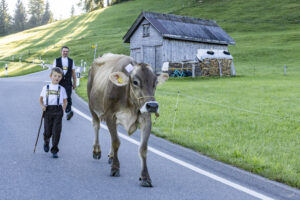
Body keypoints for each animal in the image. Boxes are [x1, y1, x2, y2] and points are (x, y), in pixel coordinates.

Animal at [88, 52, 169, 186]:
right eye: (135, 82)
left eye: (156, 82)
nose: (152, 106)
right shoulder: (110, 115)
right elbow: (116, 142)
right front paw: (115, 168)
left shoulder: (146, 118)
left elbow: (143, 148)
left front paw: (145, 177)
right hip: (92, 106)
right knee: (96, 126)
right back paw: (96, 151)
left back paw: (111, 156)